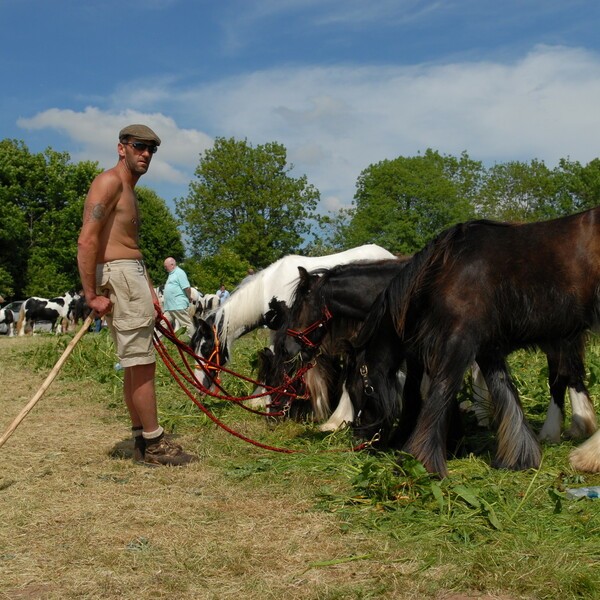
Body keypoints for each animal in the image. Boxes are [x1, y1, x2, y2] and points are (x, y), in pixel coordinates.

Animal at [342, 211, 600, 478]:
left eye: (357, 387)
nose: (360, 437)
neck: (443, 269)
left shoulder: (458, 340)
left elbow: (440, 392)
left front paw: (419, 462)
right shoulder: (489, 351)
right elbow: (506, 396)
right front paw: (519, 457)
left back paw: (586, 456)